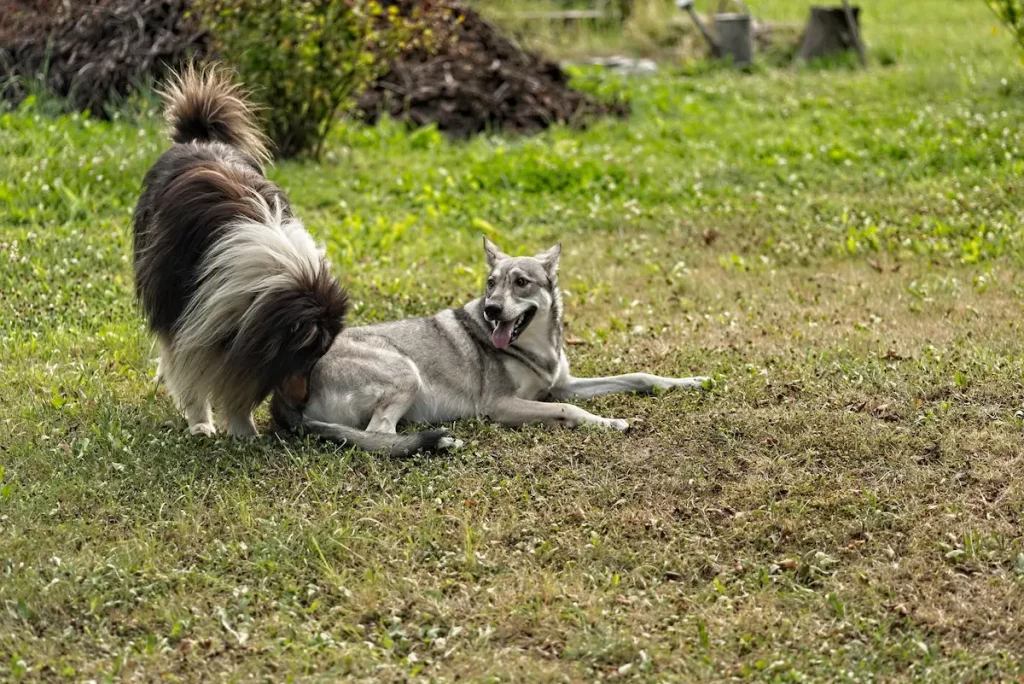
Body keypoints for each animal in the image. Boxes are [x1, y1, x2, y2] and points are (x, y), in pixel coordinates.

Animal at [132, 65, 350, 438]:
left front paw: (242, 426)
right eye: (303, 357)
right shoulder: (186, 311)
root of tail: (199, 138)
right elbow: (188, 367)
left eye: (319, 357)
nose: (304, 404)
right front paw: (201, 423)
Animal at [268, 237, 708, 456]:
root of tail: (281, 394)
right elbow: (570, 410)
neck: (535, 347)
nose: (492, 309)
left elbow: (640, 376)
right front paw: (608, 423)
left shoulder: (563, 383)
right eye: (491, 283)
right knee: (379, 436)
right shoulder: (502, 405)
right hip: (405, 373)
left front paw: (692, 382)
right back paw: (439, 443)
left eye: (521, 282)